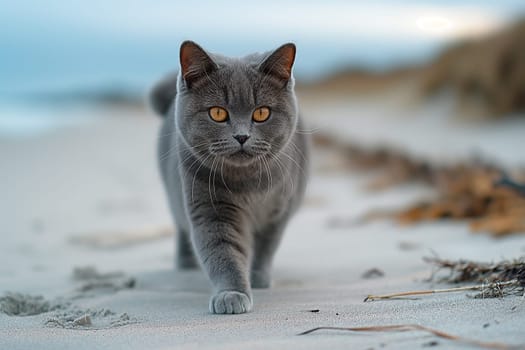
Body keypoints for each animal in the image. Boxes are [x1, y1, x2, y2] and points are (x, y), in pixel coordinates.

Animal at [149, 41, 310, 314]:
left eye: (261, 113)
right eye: (217, 113)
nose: (242, 136)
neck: (249, 184)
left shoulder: (279, 211)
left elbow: (266, 247)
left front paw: (258, 278)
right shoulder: (211, 208)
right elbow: (224, 252)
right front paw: (232, 294)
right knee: (180, 226)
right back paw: (185, 263)